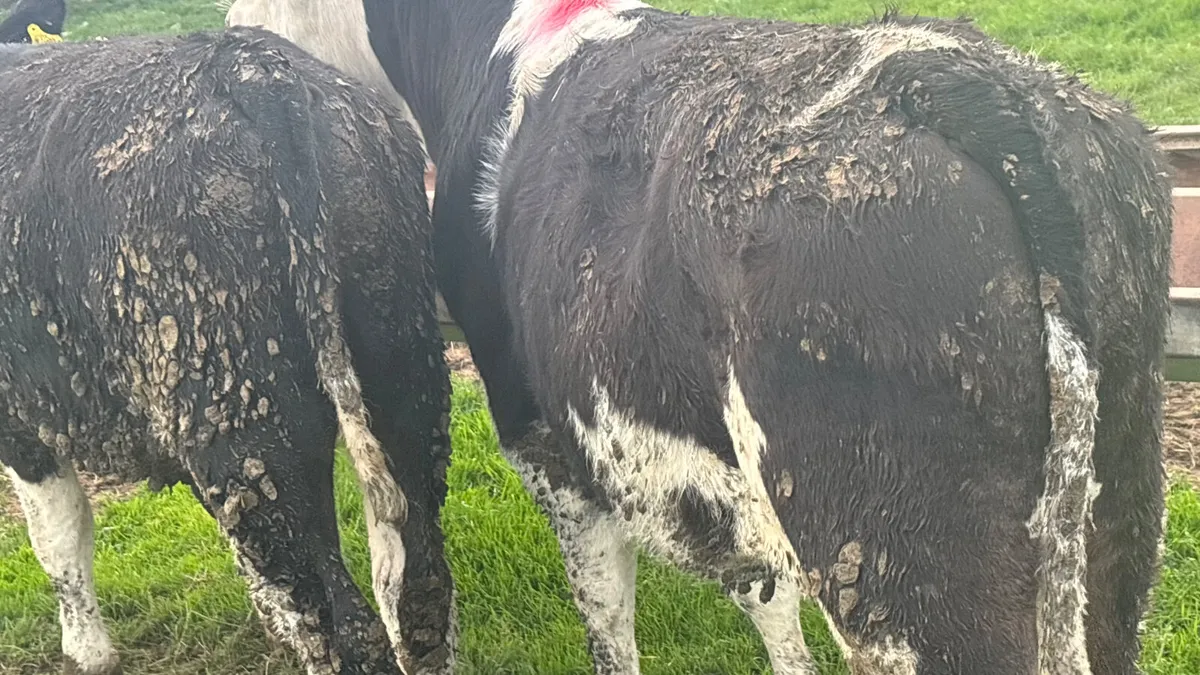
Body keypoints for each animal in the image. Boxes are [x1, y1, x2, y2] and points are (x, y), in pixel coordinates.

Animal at [0, 26, 455, 675]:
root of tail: (247, 63)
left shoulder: (23, 421)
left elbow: (57, 535)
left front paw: (88, 651)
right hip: (403, 376)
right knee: (417, 590)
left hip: (247, 434)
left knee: (341, 623)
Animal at [225, 1, 1175, 673]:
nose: (230, 30)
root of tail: (951, 75)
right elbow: (766, 599)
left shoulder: (547, 441)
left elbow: (606, 621)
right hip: (1116, 520)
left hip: (902, 567)